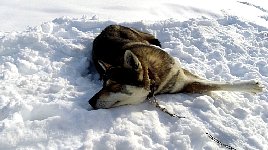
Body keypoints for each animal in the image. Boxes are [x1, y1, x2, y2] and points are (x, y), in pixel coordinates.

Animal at [88, 24, 264, 109]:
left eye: (114, 86)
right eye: (102, 85)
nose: (90, 101)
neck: (153, 75)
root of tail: (107, 28)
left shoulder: (183, 77)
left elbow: (218, 84)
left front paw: (251, 86)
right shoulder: (187, 85)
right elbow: (214, 85)